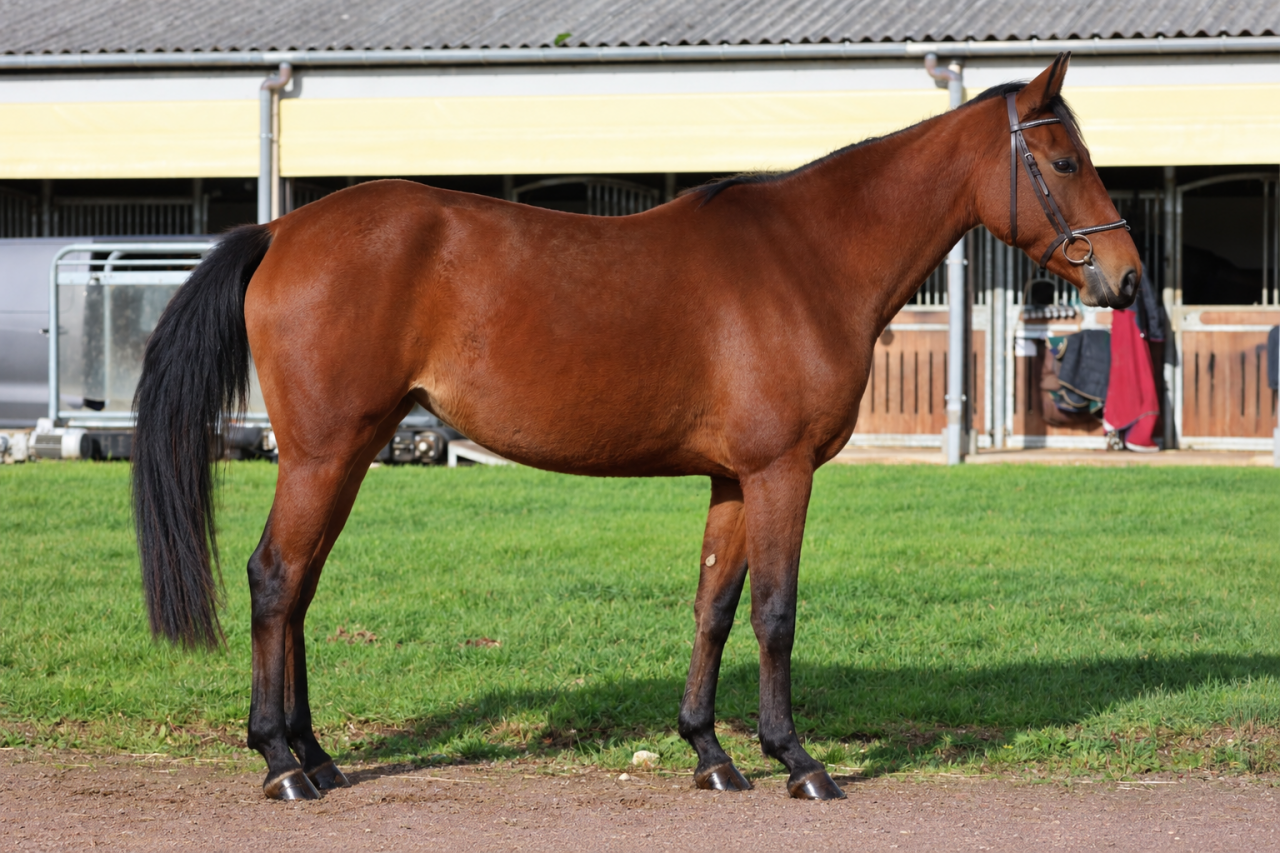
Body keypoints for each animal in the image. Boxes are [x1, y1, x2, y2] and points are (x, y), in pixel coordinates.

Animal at [132, 54, 1140, 802]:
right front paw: (797, 759)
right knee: (275, 577)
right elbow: (777, 612)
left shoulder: (735, 478)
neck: (810, 256)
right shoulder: (782, 472)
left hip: (345, 455)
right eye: (1063, 162)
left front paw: (711, 751)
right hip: (321, 453)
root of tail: (282, 229)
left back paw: (316, 754)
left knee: (299, 585)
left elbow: (715, 606)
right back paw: (279, 761)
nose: (1127, 278)